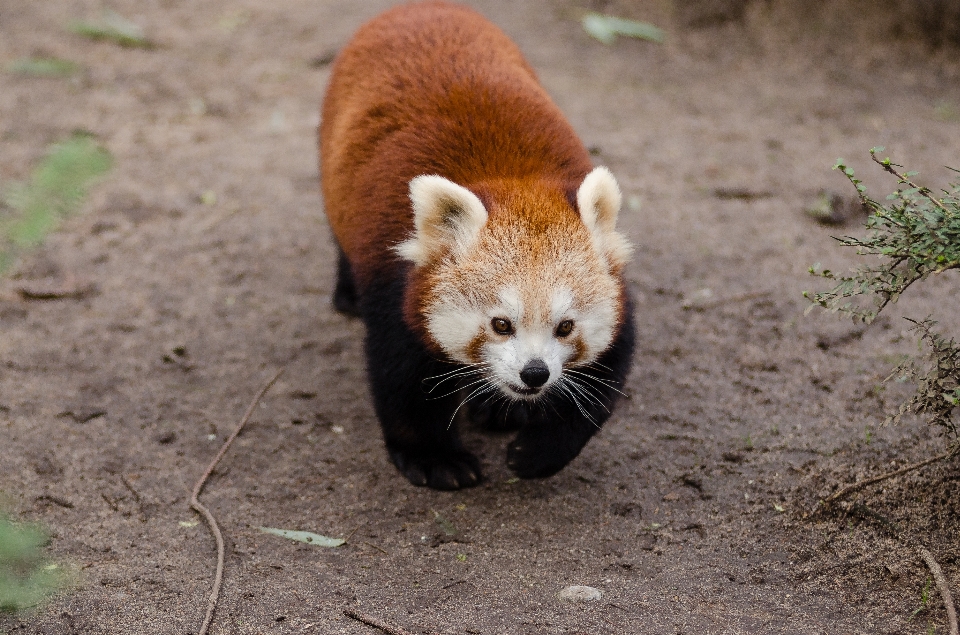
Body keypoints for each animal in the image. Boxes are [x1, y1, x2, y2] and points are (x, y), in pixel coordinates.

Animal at [322, 1, 636, 492]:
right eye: (500, 324)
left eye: (566, 326)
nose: (534, 373)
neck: (513, 182)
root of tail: (419, 8)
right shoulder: (398, 284)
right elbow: (403, 378)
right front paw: (435, 457)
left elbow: (603, 379)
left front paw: (540, 451)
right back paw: (346, 293)